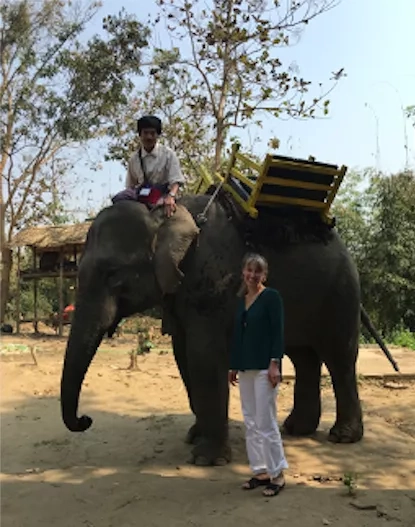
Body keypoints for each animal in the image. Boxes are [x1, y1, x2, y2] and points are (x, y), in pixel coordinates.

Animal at [59, 193, 394, 466]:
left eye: (113, 275)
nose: (85, 419)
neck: (164, 213)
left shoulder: (212, 281)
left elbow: (204, 356)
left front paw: (206, 459)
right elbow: (184, 356)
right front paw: (195, 436)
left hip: (341, 293)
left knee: (339, 357)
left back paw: (342, 436)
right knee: (305, 357)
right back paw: (295, 429)